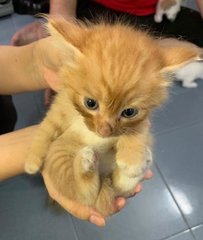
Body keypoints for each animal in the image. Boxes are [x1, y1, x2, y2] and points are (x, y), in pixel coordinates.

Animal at [24, 19, 202, 217]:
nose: (104, 131)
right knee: (86, 196)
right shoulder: (60, 106)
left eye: (129, 112)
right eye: (90, 103)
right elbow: (46, 128)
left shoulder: (142, 121)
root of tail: (103, 176)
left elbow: (137, 131)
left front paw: (132, 160)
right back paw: (85, 163)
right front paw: (32, 160)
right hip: (59, 154)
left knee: (114, 189)